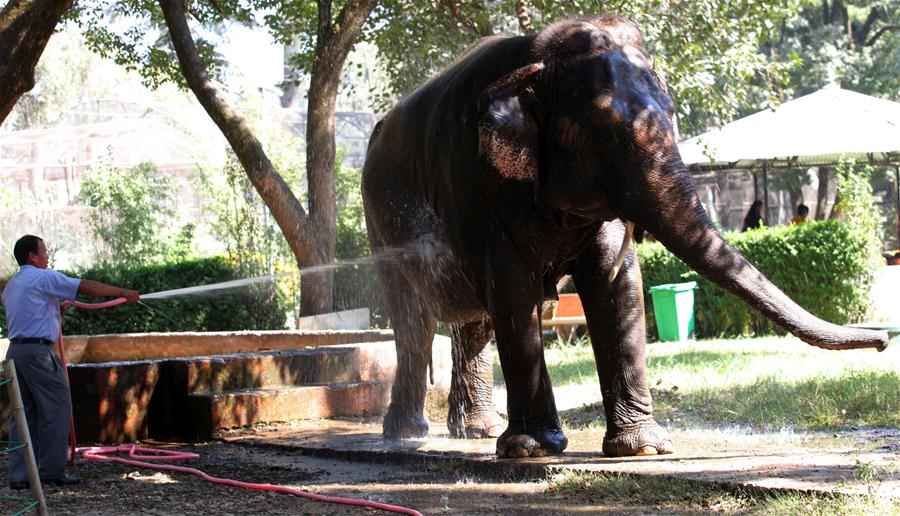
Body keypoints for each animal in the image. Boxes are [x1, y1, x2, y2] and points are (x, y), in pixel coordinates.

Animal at [358, 14, 884, 458]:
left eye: (672, 113)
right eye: (607, 134)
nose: (881, 343)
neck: (537, 55)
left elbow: (618, 286)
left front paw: (643, 448)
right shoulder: (475, 184)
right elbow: (512, 289)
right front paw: (533, 450)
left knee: (473, 321)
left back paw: (476, 431)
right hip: (379, 216)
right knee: (414, 320)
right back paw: (407, 433)